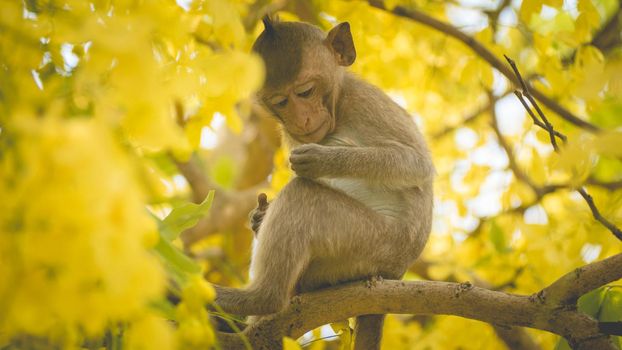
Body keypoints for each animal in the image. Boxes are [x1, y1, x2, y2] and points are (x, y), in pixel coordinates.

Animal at [213, 17, 434, 350]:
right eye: (281, 101)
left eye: (305, 92)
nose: (302, 119)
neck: (338, 108)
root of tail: (395, 272)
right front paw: (258, 217)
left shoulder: (363, 101)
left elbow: (417, 164)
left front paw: (324, 159)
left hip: (373, 243)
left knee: (303, 195)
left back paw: (259, 298)